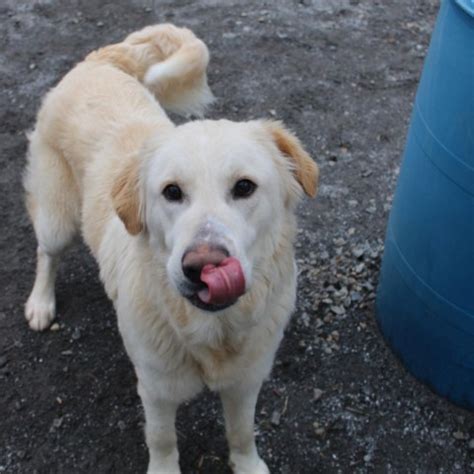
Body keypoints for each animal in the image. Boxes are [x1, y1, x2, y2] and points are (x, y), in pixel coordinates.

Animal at [22, 23, 318, 474]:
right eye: (172, 192)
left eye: (244, 187)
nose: (203, 265)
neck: (211, 332)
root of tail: (97, 61)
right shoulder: (156, 389)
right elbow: (162, 440)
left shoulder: (246, 380)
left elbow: (242, 432)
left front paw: (248, 464)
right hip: (57, 218)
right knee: (46, 253)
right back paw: (40, 303)